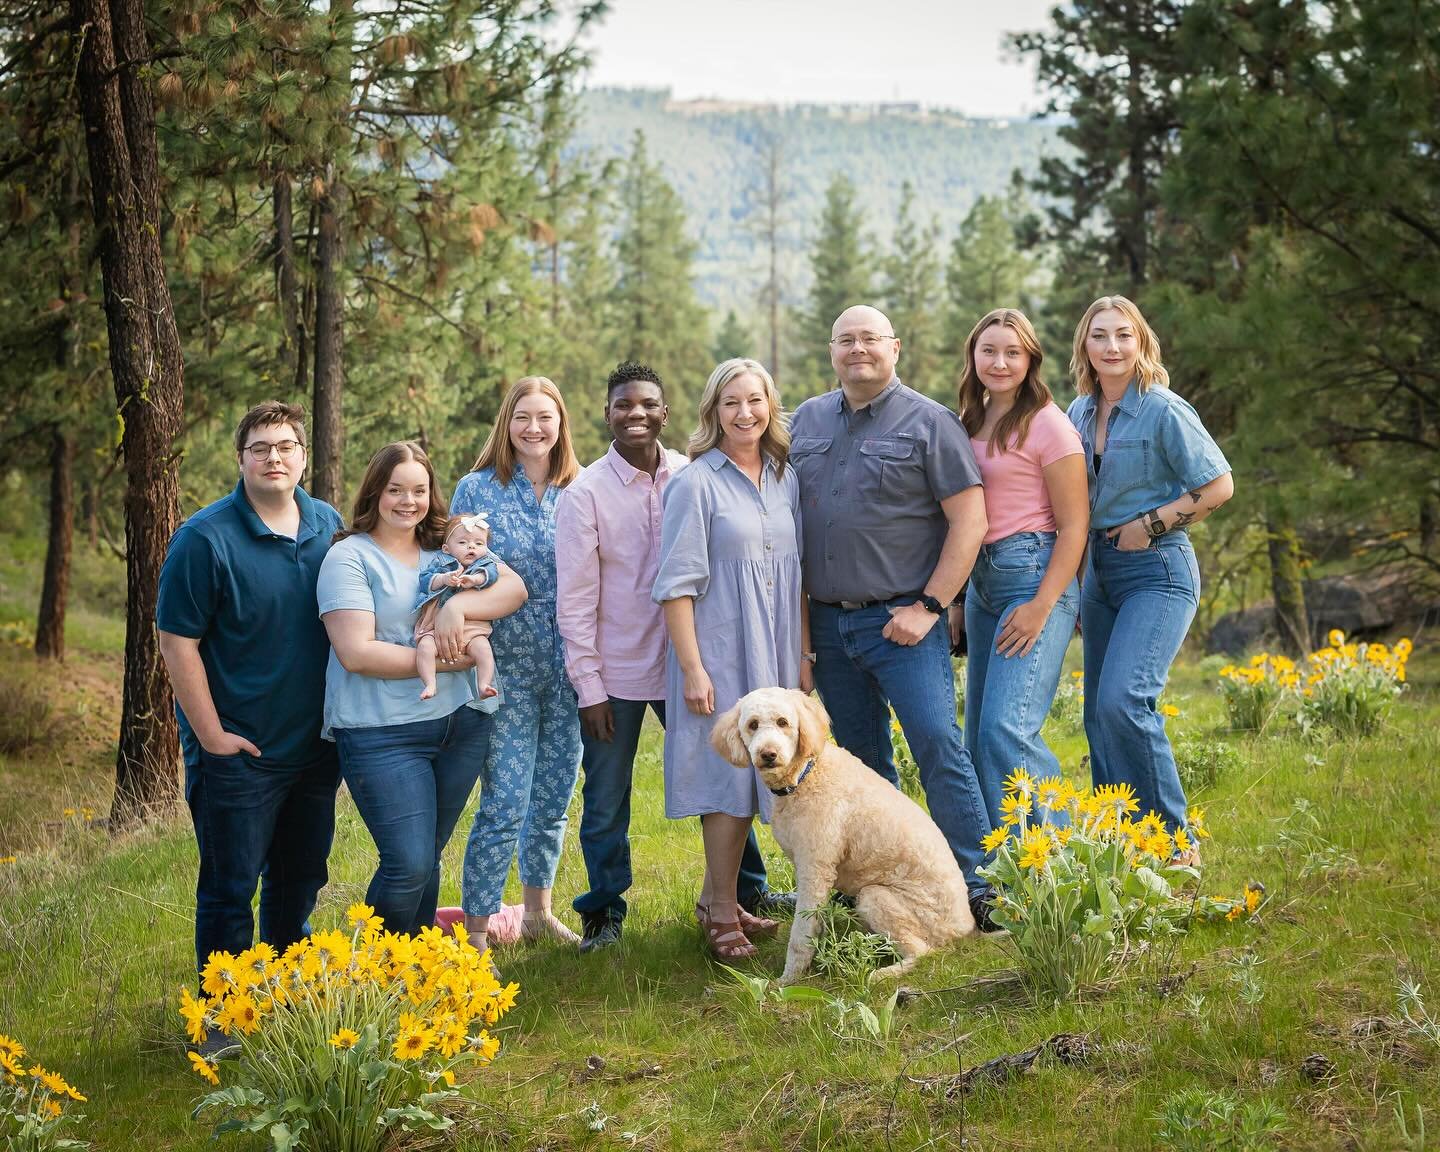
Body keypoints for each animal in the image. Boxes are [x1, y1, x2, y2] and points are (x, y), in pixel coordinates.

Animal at [711, 685, 973, 979]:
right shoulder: (812, 870)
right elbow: (813, 924)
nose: (768, 754)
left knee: (922, 952)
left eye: (783, 722)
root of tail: (963, 929)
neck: (805, 775)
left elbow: (799, 934)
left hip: (876, 897)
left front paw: (789, 979)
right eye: (753, 725)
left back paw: (882, 973)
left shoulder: (815, 868)